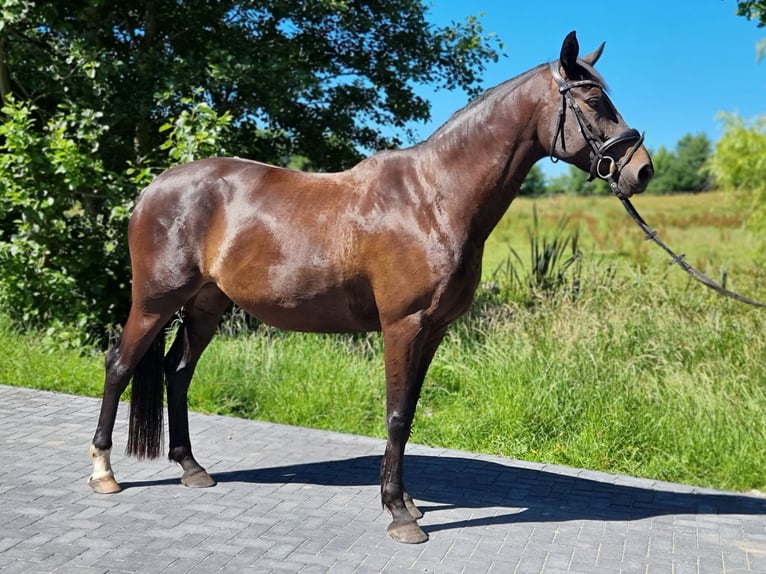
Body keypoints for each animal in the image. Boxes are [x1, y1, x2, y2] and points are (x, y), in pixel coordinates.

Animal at [88, 31, 653, 544]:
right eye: (595, 101)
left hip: (207, 306)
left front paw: (405, 501)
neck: (434, 199)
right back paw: (104, 472)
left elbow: (410, 411)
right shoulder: (403, 326)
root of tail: (153, 189)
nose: (642, 171)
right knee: (120, 365)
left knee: (177, 373)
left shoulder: (433, 331)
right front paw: (399, 514)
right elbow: (397, 414)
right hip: (156, 301)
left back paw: (191, 468)